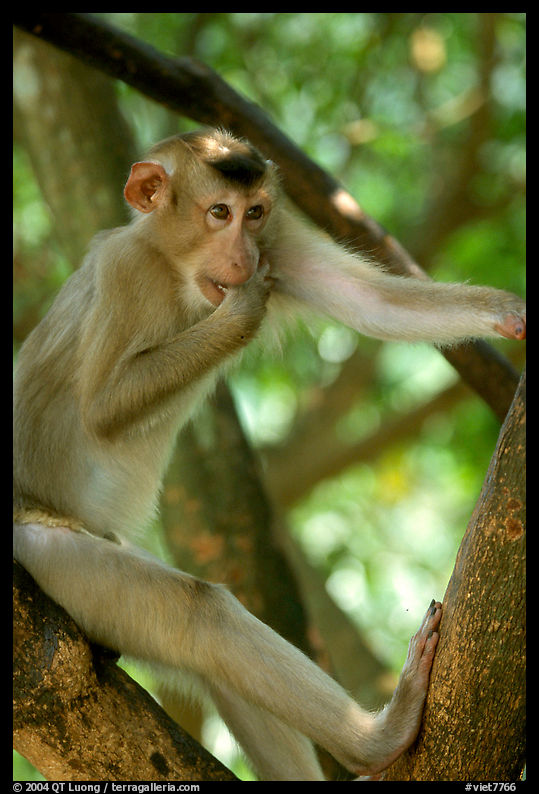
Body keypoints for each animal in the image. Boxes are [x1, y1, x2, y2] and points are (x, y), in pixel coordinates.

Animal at [13, 129, 524, 780]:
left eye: (254, 213)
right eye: (219, 213)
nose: (244, 256)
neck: (172, 268)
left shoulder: (279, 242)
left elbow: (372, 302)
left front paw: (507, 310)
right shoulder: (125, 273)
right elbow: (102, 408)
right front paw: (243, 309)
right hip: (41, 551)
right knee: (202, 616)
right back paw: (380, 737)